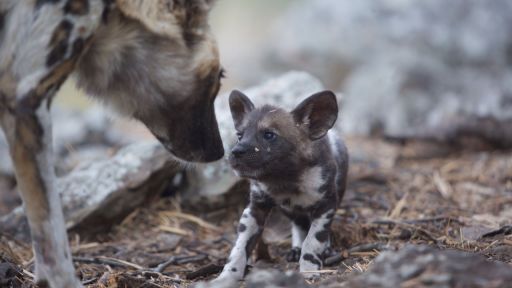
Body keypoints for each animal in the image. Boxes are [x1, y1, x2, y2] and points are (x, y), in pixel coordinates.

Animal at [216, 90, 348, 282]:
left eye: (269, 135)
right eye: (239, 135)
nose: (235, 152)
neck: (283, 179)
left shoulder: (326, 205)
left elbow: (313, 240)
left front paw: (309, 271)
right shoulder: (254, 209)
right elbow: (239, 248)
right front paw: (227, 275)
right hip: (291, 211)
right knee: (299, 225)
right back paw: (296, 249)